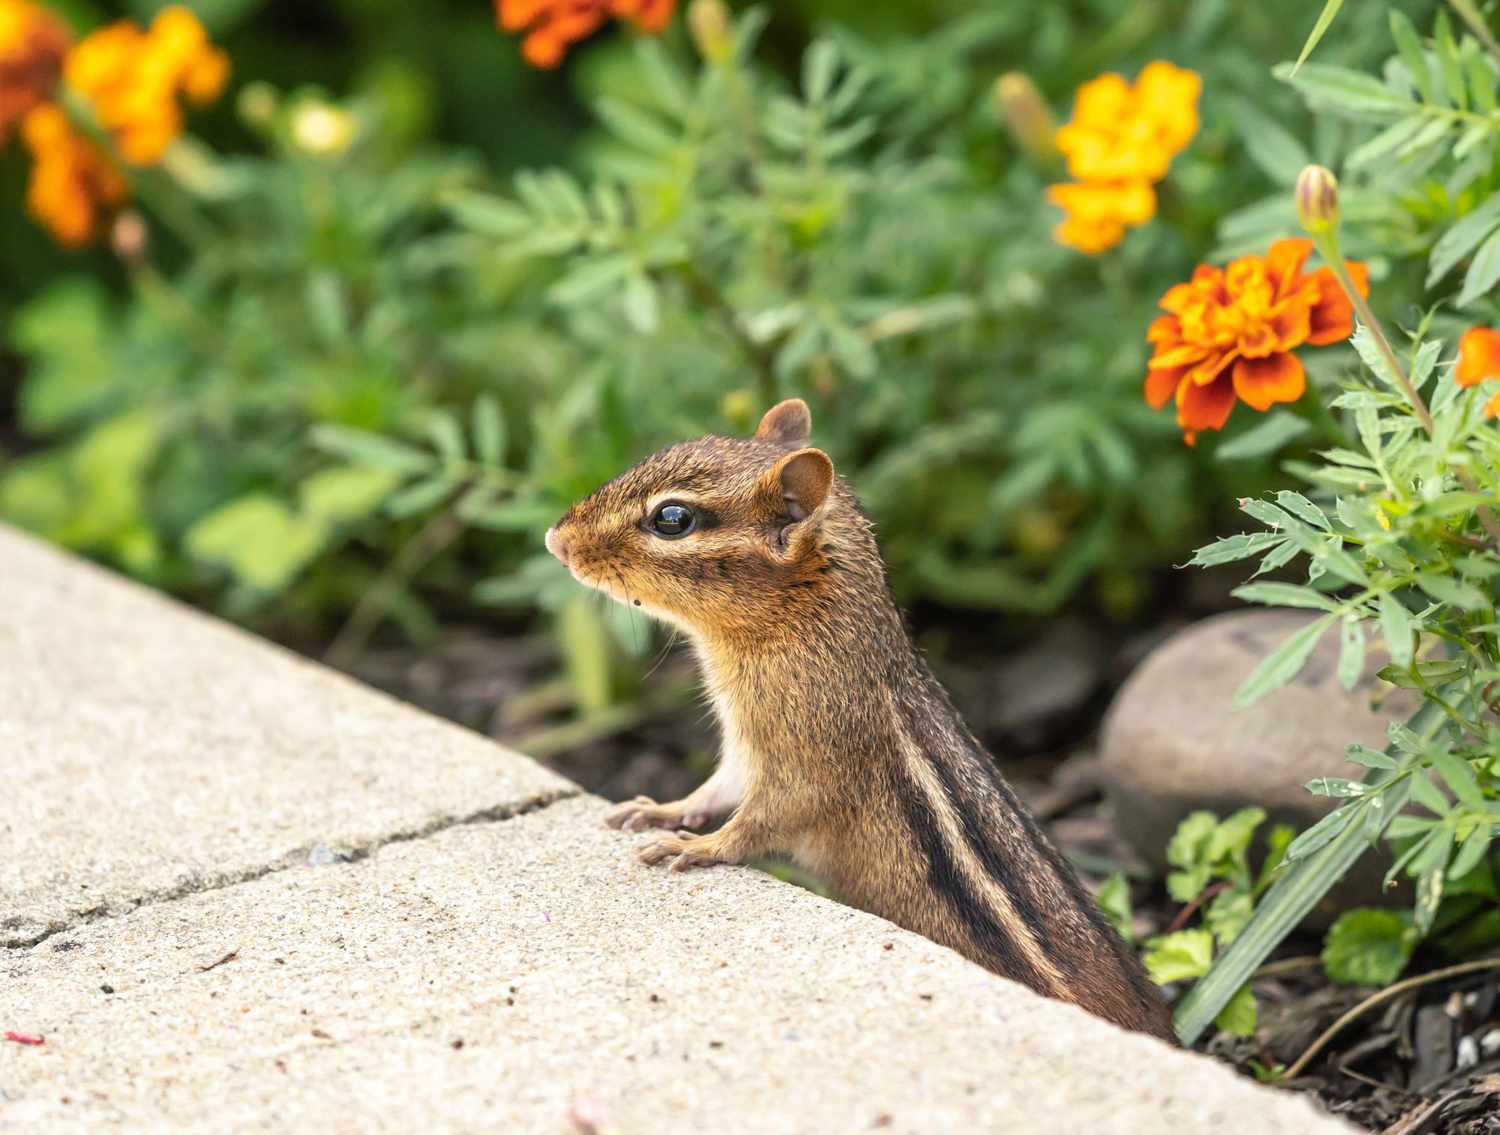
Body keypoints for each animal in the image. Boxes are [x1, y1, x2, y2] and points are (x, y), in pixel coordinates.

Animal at [544, 399, 1175, 1041]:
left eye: (672, 518)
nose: (555, 540)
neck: (800, 623)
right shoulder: (745, 748)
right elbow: (716, 788)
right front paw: (660, 810)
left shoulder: (807, 757)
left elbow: (766, 818)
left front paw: (701, 846)